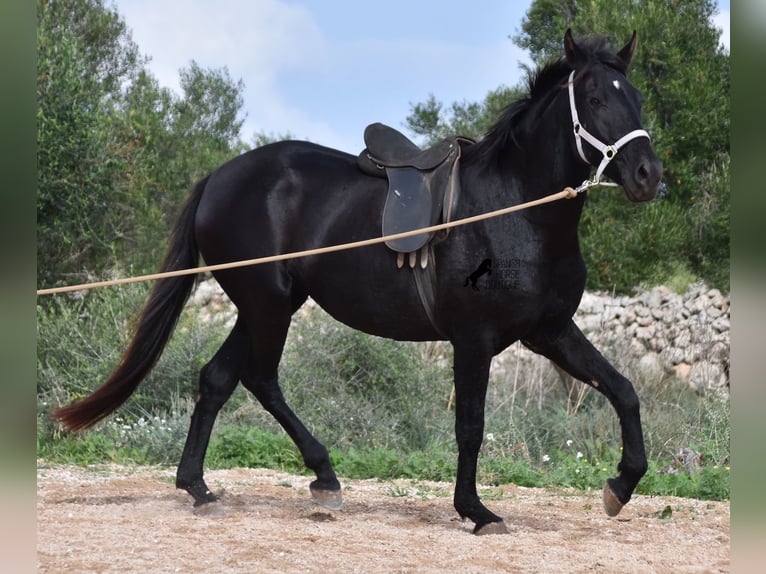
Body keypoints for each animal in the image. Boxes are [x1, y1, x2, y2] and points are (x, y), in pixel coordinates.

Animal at [55, 30, 664, 536]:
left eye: (634, 97)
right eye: (595, 99)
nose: (648, 176)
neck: (515, 210)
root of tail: (220, 177)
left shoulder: (550, 331)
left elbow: (624, 391)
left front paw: (620, 486)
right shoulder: (475, 340)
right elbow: (471, 426)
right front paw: (476, 511)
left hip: (267, 305)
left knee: (220, 379)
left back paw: (207, 488)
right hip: (267, 304)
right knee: (256, 377)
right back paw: (316, 476)